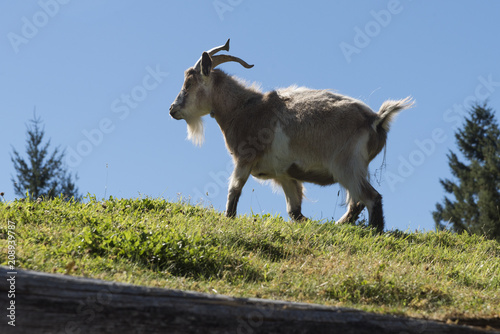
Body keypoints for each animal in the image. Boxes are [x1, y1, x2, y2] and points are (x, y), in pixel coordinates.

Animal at [170, 39, 412, 231]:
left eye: (188, 84)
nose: (172, 109)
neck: (243, 109)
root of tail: (376, 120)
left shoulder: (245, 159)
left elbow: (234, 191)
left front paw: (228, 219)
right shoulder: (285, 174)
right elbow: (294, 211)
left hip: (347, 166)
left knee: (371, 198)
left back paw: (374, 231)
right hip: (354, 169)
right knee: (357, 202)